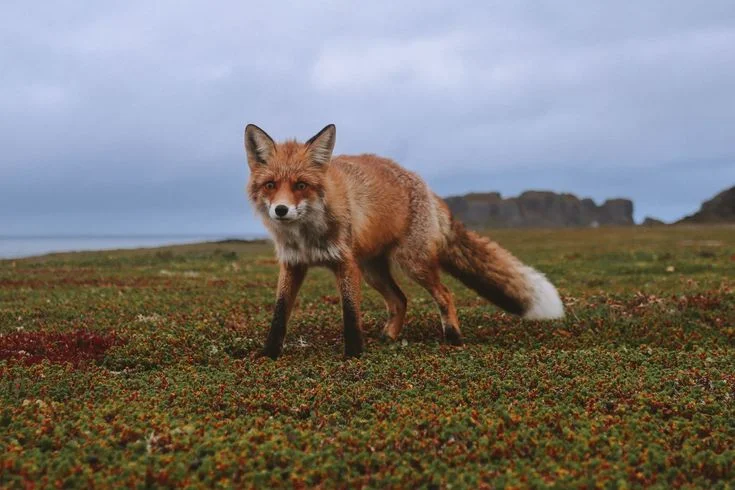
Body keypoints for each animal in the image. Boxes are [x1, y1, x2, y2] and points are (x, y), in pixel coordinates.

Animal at [244, 123, 564, 359]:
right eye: (270, 185)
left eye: (301, 185)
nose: (281, 210)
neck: (306, 235)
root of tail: (425, 185)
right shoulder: (293, 264)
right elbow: (279, 314)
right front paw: (268, 355)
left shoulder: (345, 264)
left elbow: (350, 315)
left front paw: (353, 356)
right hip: (373, 271)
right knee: (400, 300)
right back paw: (388, 337)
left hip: (411, 264)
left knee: (445, 294)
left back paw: (454, 338)